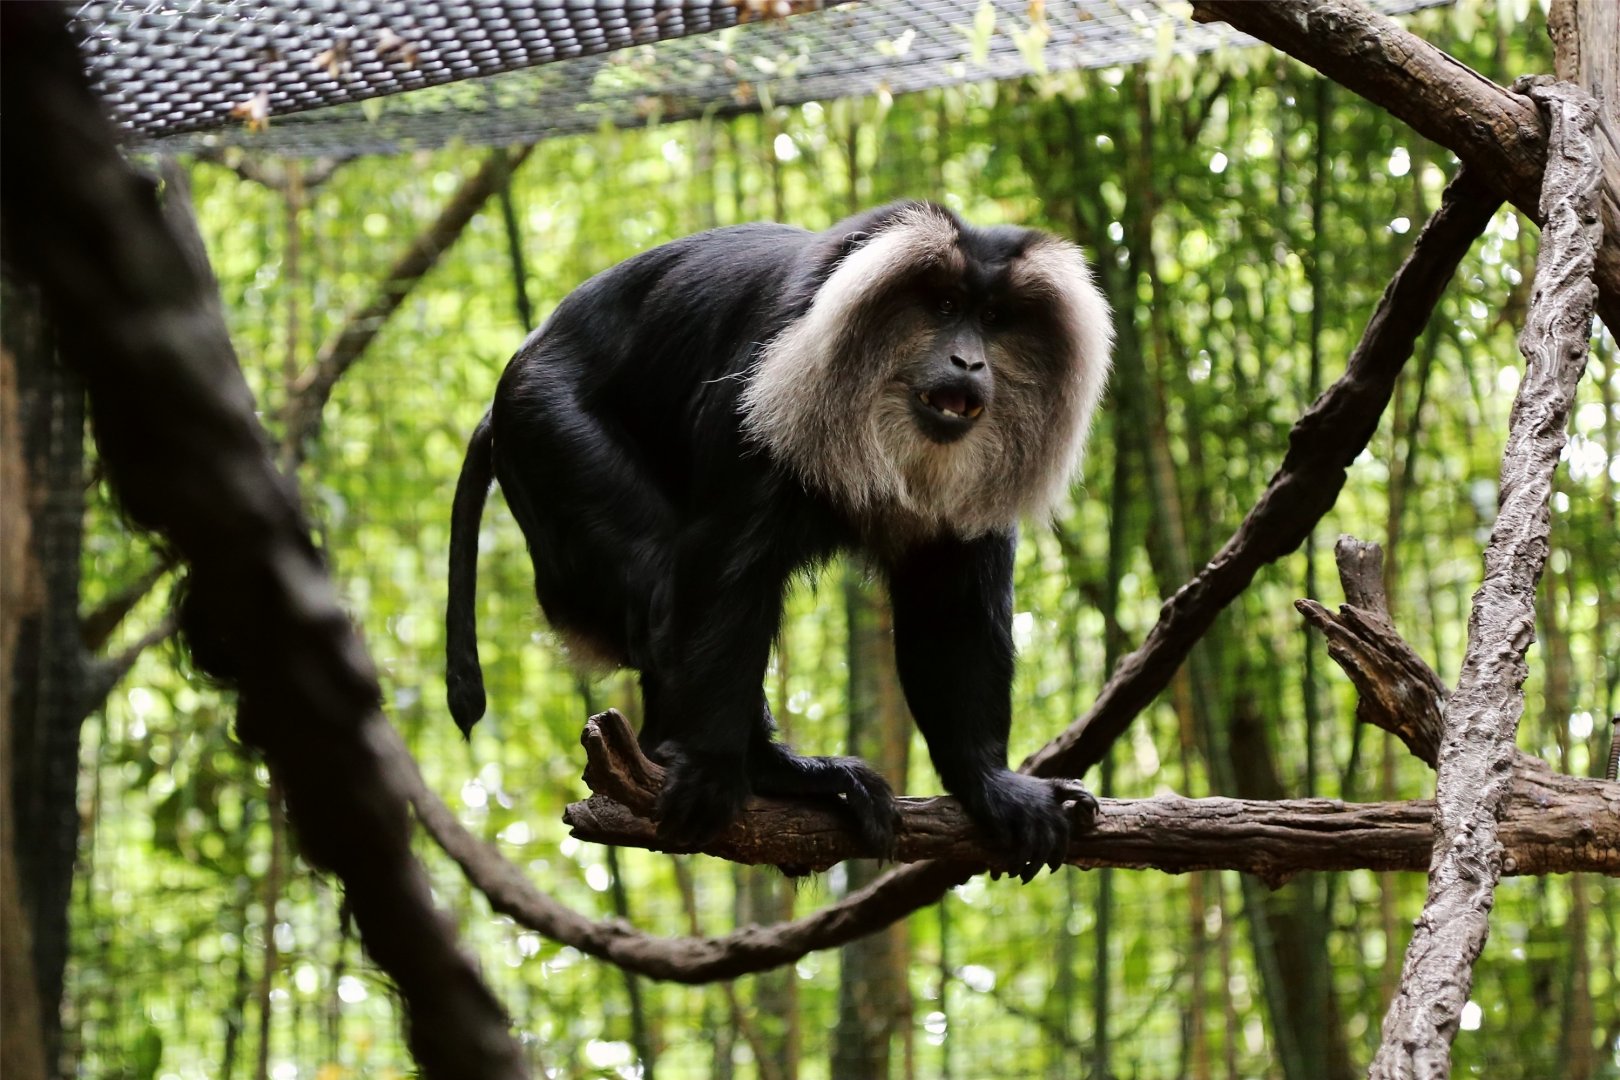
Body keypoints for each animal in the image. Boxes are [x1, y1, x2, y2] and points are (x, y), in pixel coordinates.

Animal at [446, 200, 1112, 879]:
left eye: (996, 319)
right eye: (946, 307)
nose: (970, 363)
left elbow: (952, 613)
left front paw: (992, 786)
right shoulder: (763, 383)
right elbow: (725, 569)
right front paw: (711, 769)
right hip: (546, 425)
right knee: (661, 585)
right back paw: (755, 769)